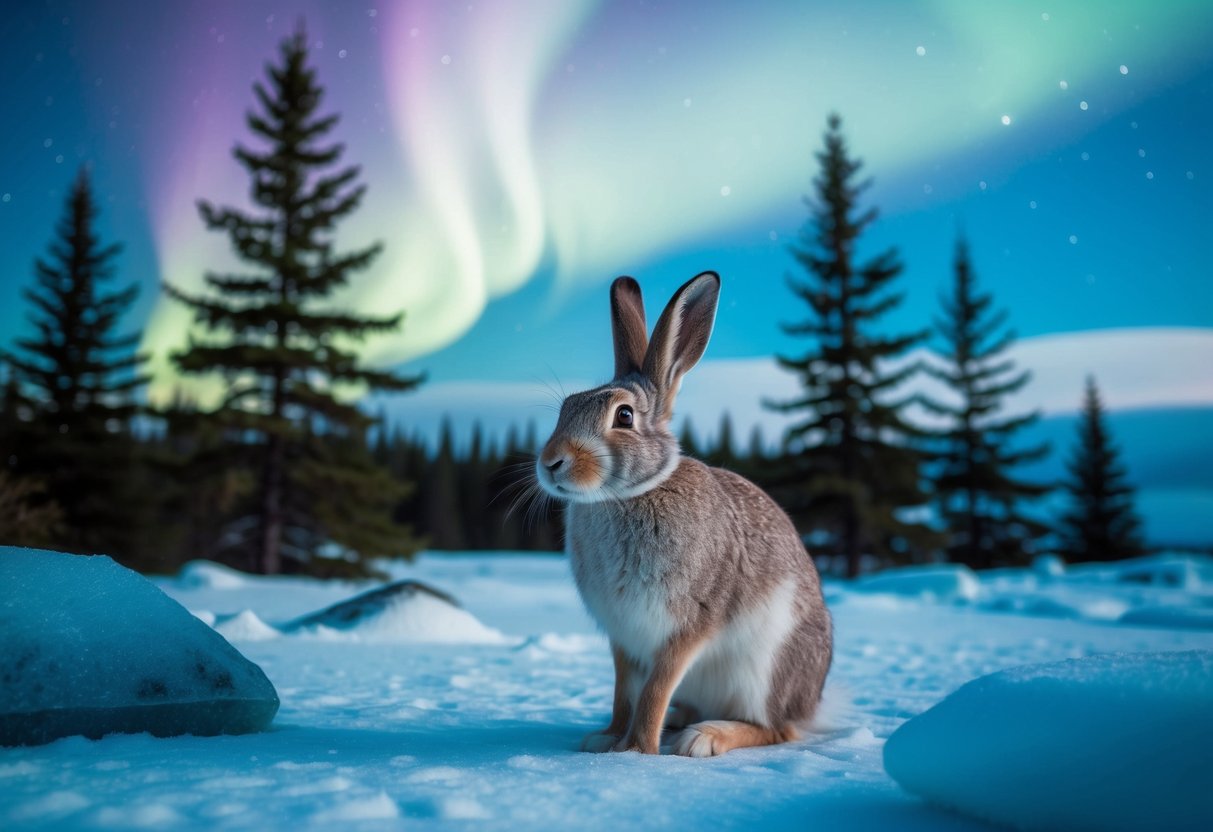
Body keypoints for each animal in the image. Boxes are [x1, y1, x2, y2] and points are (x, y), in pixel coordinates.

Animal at [535, 271, 833, 757]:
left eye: (623, 416)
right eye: (566, 408)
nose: (550, 463)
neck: (628, 496)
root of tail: (811, 701)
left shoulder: (687, 627)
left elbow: (655, 689)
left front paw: (637, 751)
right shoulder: (623, 639)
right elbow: (624, 691)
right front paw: (606, 739)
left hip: (762, 670)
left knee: (774, 728)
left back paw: (704, 737)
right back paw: (681, 721)